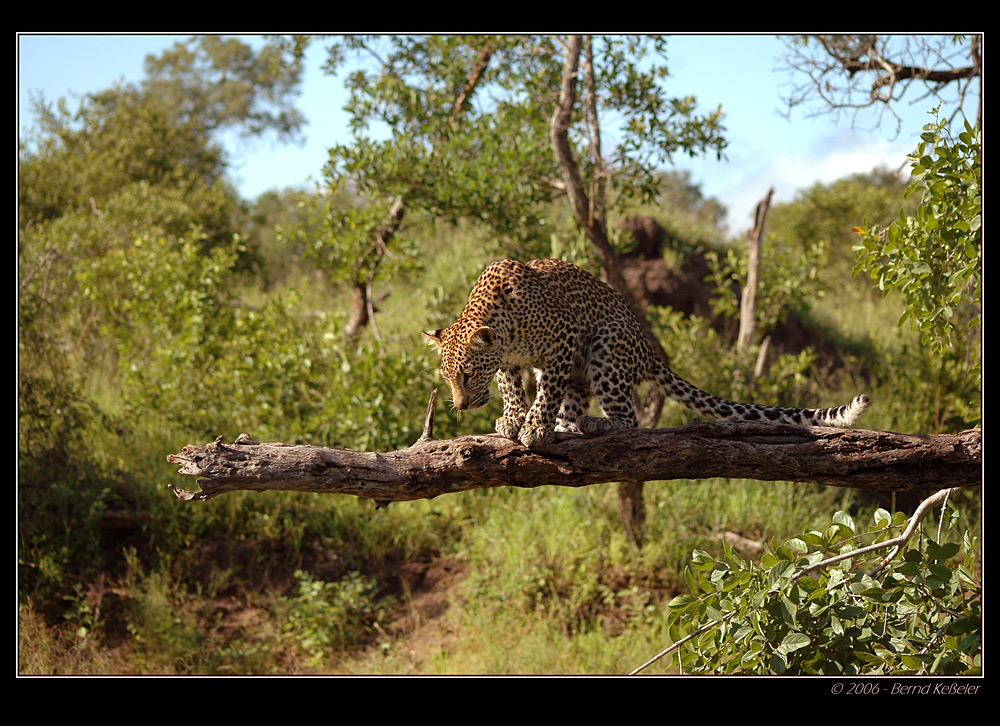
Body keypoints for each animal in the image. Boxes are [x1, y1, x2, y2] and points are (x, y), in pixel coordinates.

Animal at [422, 256, 868, 450]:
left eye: (467, 374)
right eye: (448, 377)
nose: (460, 405)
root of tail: (649, 351)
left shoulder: (564, 340)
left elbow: (545, 395)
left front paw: (533, 426)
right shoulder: (509, 362)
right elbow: (513, 390)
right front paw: (512, 419)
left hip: (605, 345)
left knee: (629, 419)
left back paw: (596, 424)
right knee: (574, 409)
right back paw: (572, 425)